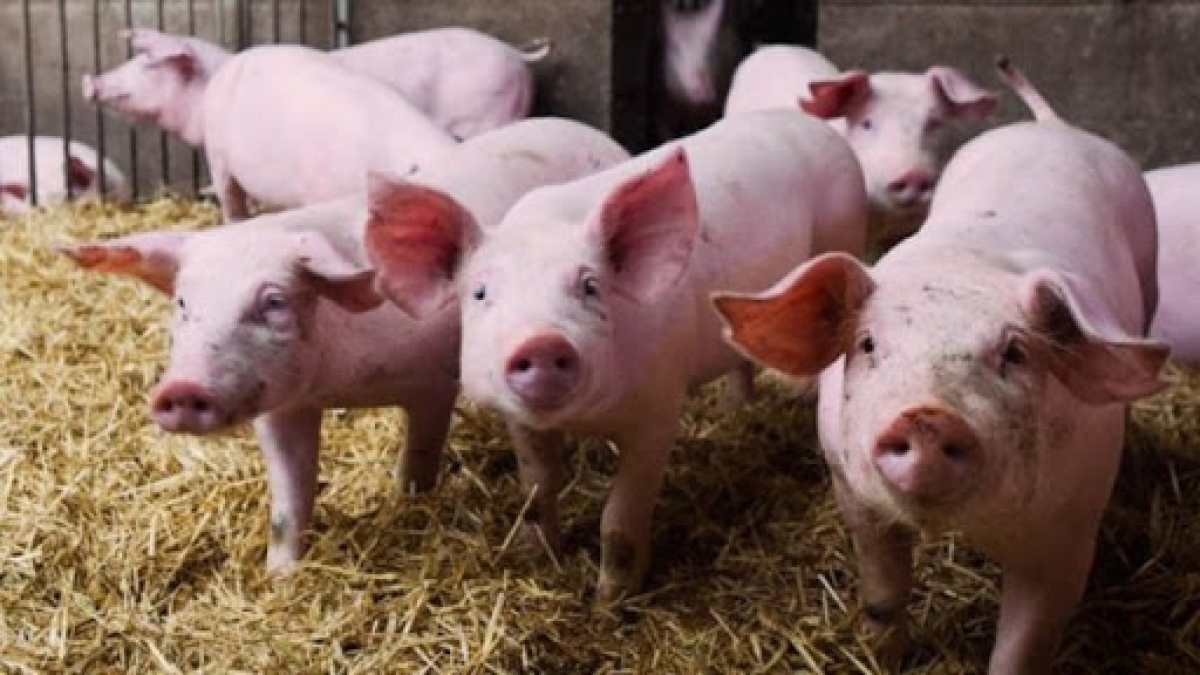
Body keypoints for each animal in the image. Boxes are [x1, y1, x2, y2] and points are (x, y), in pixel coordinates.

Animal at [58, 117, 630, 569]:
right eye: (183, 303)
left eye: (273, 302)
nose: (180, 389)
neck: (340, 382)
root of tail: (594, 133)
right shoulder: (283, 406)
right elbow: (289, 499)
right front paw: (281, 575)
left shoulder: (433, 381)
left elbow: (420, 455)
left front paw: (410, 501)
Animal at [365, 110, 867, 602]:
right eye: (480, 293)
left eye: (590, 286)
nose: (542, 342)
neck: (586, 419)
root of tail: (814, 126)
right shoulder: (521, 421)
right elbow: (536, 488)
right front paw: (536, 554)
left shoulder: (660, 409)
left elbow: (620, 518)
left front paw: (611, 602)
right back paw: (735, 410)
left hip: (843, 233)